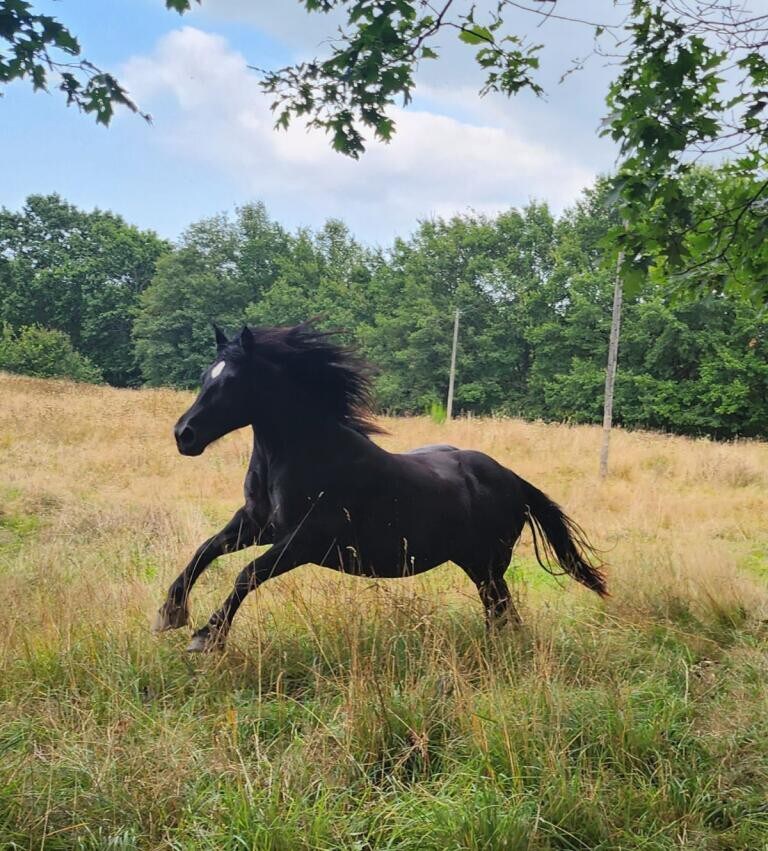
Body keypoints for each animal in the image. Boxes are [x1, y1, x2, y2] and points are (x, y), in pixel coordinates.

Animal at [153, 324, 604, 652]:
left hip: (487, 566)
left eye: (232, 380)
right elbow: (205, 551)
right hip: (478, 565)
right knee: (502, 613)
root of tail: (512, 479)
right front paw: (170, 614)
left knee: (501, 612)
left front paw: (207, 636)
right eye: (204, 375)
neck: (307, 454)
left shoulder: (303, 542)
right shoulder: (256, 524)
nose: (184, 435)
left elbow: (247, 574)